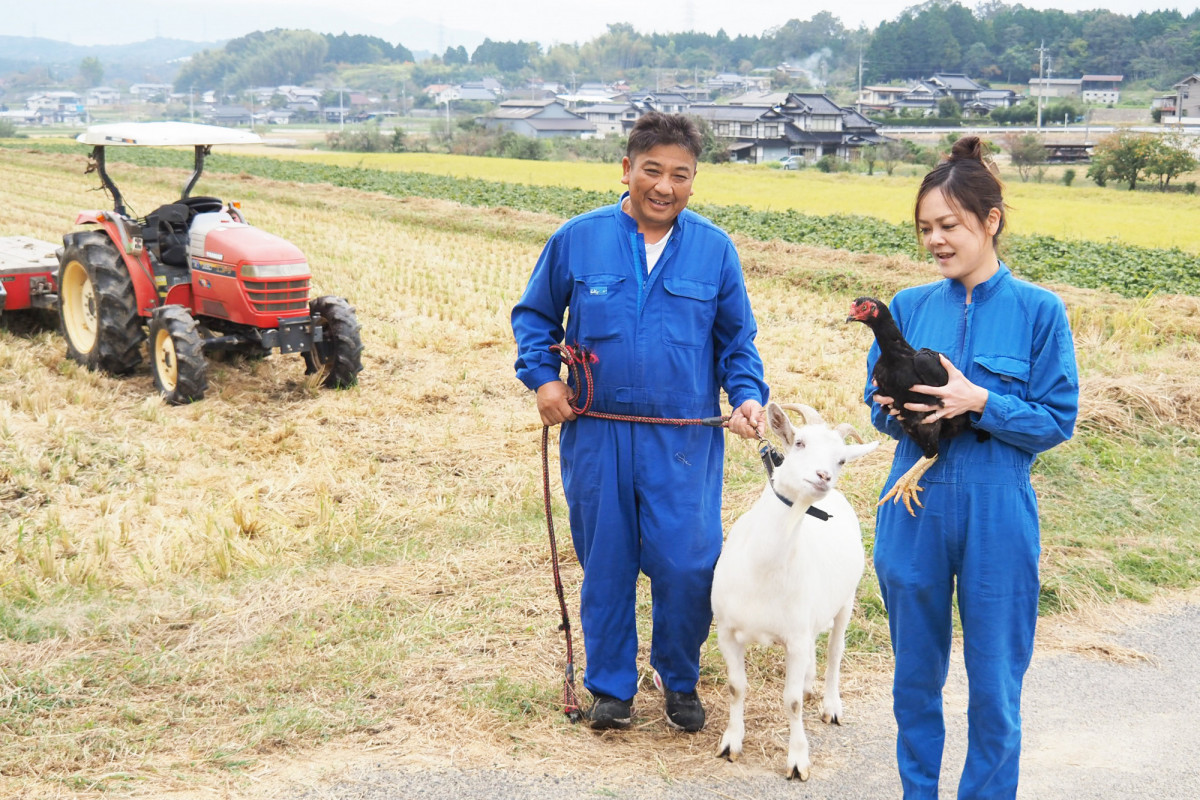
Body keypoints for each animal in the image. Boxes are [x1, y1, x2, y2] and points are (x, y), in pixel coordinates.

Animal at [705, 402, 878, 777]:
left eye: (842, 460)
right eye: (798, 442)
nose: (823, 476)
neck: (763, 569)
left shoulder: (795, 639)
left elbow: (793, 701)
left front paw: (798, 760)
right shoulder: (727, 630)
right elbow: (736, 688)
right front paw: (730, 744)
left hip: (846, 601)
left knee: (834, 652)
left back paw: (830, 704)